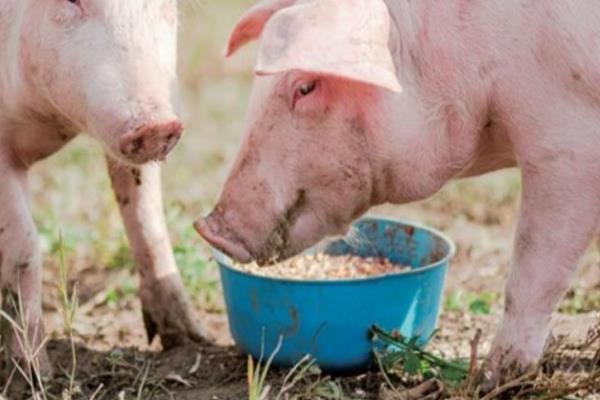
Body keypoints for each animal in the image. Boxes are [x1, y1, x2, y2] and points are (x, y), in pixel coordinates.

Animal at [0, 0, 204, 376]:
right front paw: (36, 373)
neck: (49, 120)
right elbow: (24, 243)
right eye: (70, 2)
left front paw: (191, 338)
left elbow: (148, 222)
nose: (156, 125)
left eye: (166, 4)